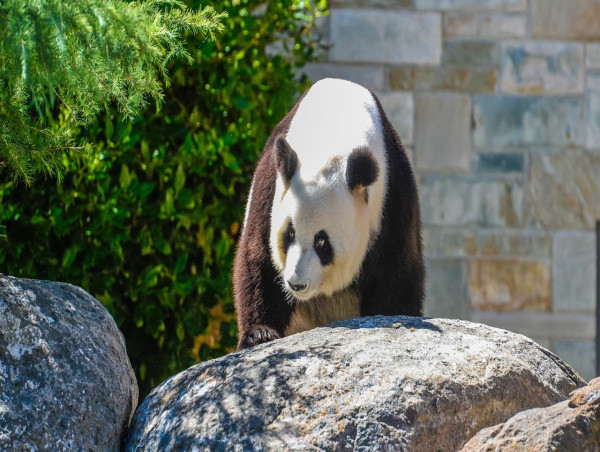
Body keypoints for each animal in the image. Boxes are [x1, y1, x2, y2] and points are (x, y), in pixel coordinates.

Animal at [232, 78, 424, 350]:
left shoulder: (392, 192)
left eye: (321, 241)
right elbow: (259, 257)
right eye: (289, 234)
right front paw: (259, 334)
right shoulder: (271, 186)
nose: (296, 284)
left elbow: (396, 270)